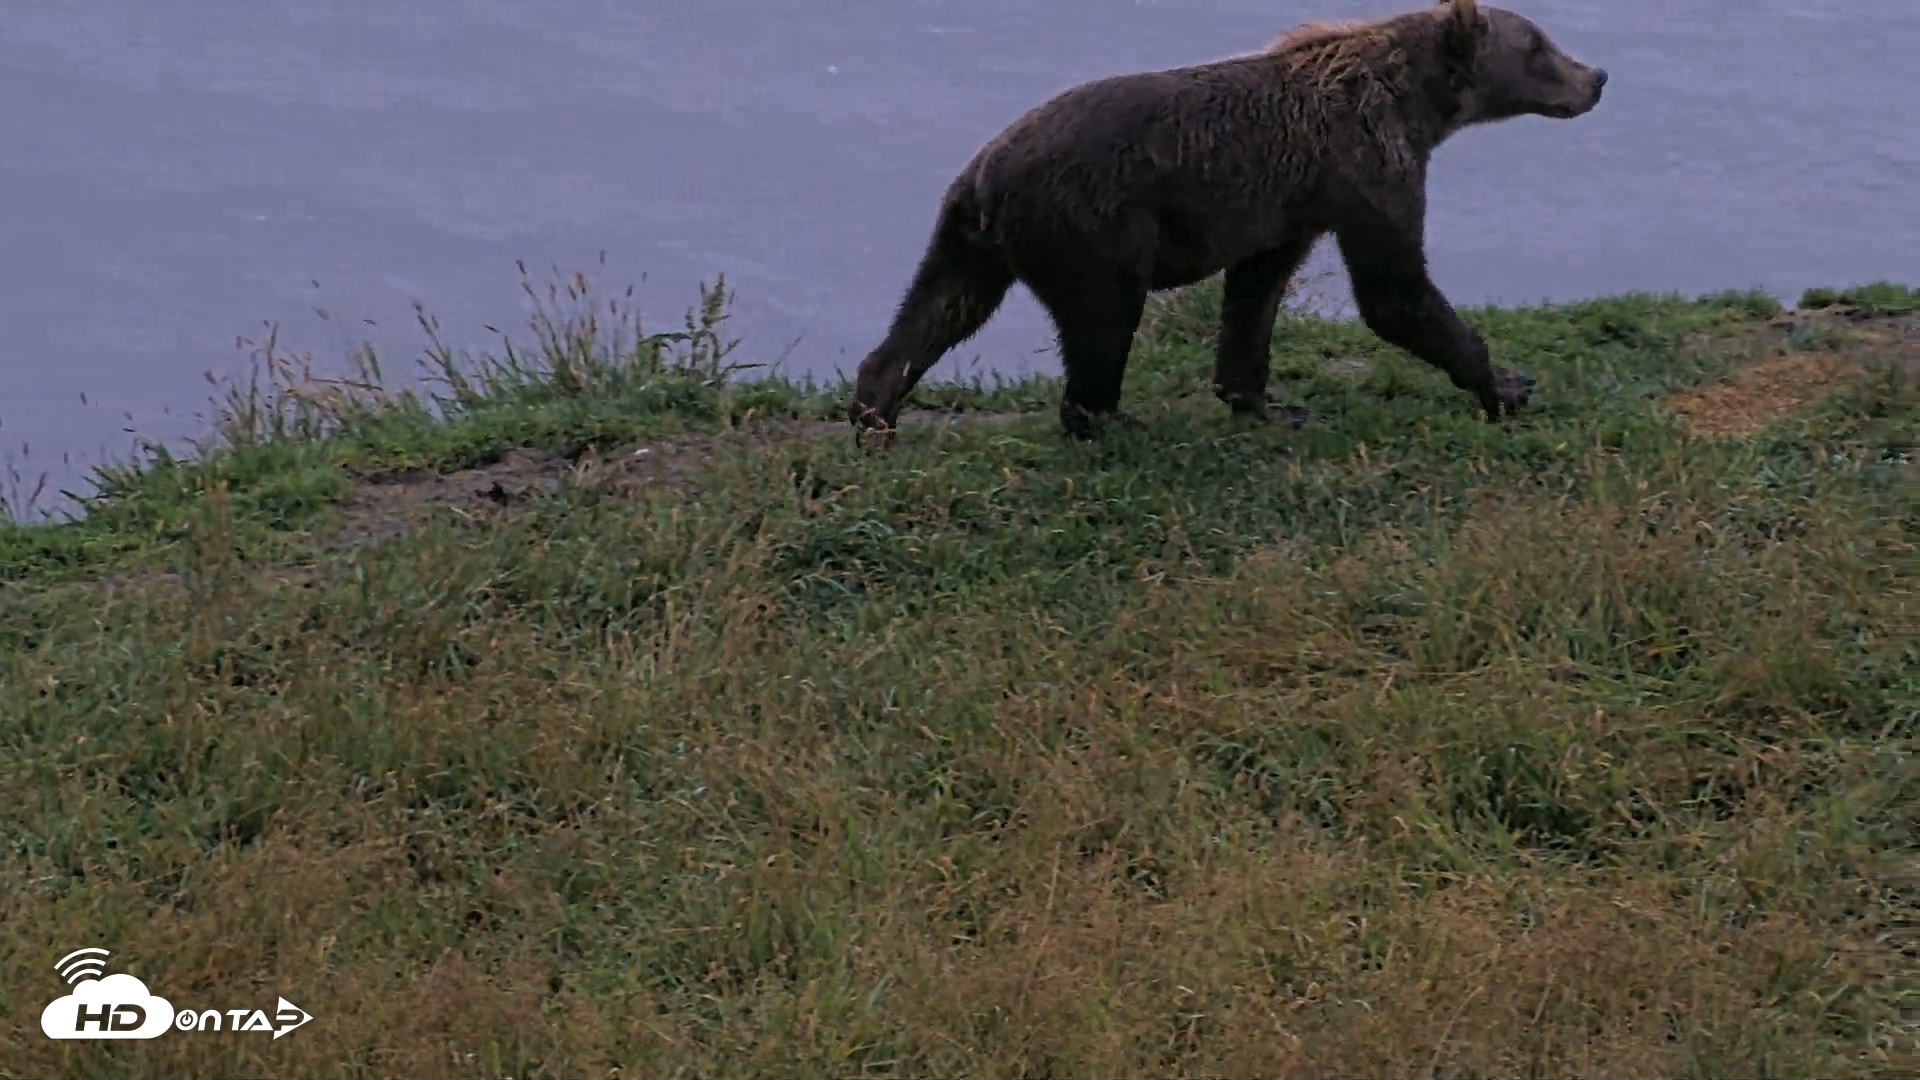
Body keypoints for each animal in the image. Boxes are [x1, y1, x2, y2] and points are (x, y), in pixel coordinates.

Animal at [846, 0, 1608, 442]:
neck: (1416, 105)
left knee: (940, 306)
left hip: (968, 234)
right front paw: (1505, 383)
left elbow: (1255, 295)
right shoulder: (1368, 170)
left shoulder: (1288, 206)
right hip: (1093, 223)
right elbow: (1394, 290)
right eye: (1539, 45)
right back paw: (1112, 419)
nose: (1597, 76)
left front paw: (1267, 401)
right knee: (1102, 319)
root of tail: (986, 172)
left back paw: (875, 410)